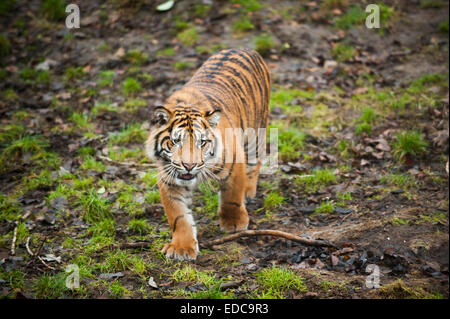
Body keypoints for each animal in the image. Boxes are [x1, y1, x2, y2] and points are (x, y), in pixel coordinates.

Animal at [146, 48, 268, 262]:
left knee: (255, 163)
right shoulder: (169, 180)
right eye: (175, 141)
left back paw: (248, 190)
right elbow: (178, 216)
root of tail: (244, 48)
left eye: (202, 142)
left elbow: (231, 197)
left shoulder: (235, 161)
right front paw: (182, 247)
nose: (189, 166)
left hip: (256, 134)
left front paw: (234, 223)